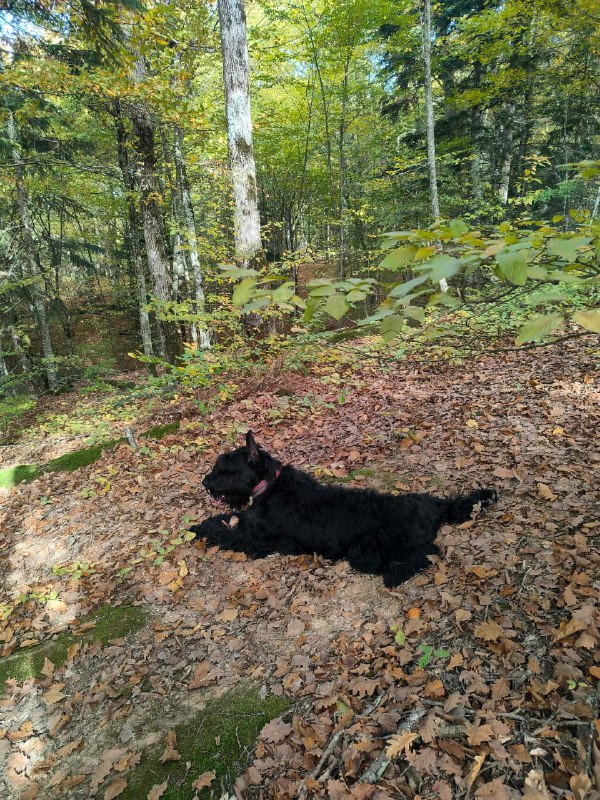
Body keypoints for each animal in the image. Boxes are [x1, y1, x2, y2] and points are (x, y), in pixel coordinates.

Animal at [189, 432, 496, 588]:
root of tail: (435, 504)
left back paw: (395, 574)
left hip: (369, 549)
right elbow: (224, 518)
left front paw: (197, 527)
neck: (269, 485)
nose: (206, 482)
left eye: (226, 468)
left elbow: (225, 531)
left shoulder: (256, 541)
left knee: (427, 553)